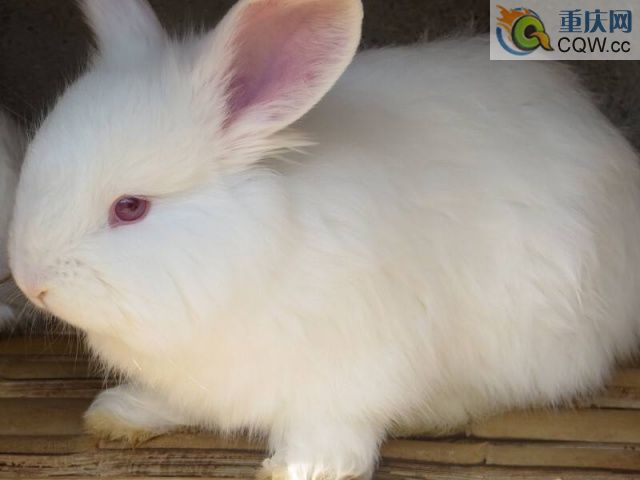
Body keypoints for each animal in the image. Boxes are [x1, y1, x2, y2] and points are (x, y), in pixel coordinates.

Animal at [8, 0, 640, 478]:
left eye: (130, 208)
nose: (30, 282)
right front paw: (120, 413)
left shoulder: (352, 372)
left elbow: (335, 427)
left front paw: (303, 469)